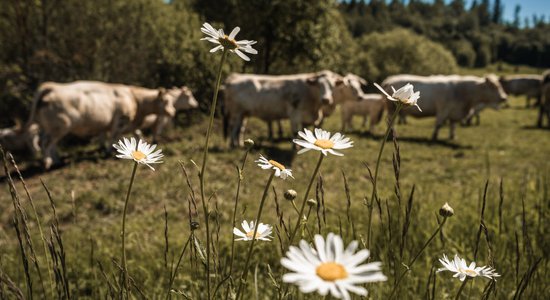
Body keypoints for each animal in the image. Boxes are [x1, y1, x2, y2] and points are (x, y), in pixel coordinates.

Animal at [25, 79, 177, 169]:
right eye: (166, 101)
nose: (173, 112)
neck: (134, 99)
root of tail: (51, 86)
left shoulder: (107, 124)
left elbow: (108, 136)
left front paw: (103, 148)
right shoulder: (120, 121)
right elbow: (114, 136)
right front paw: (109, 151)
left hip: (48, 127)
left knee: (50, 144)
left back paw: (56, 160)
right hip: (60, 126)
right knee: (46, 144)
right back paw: (49, 163)